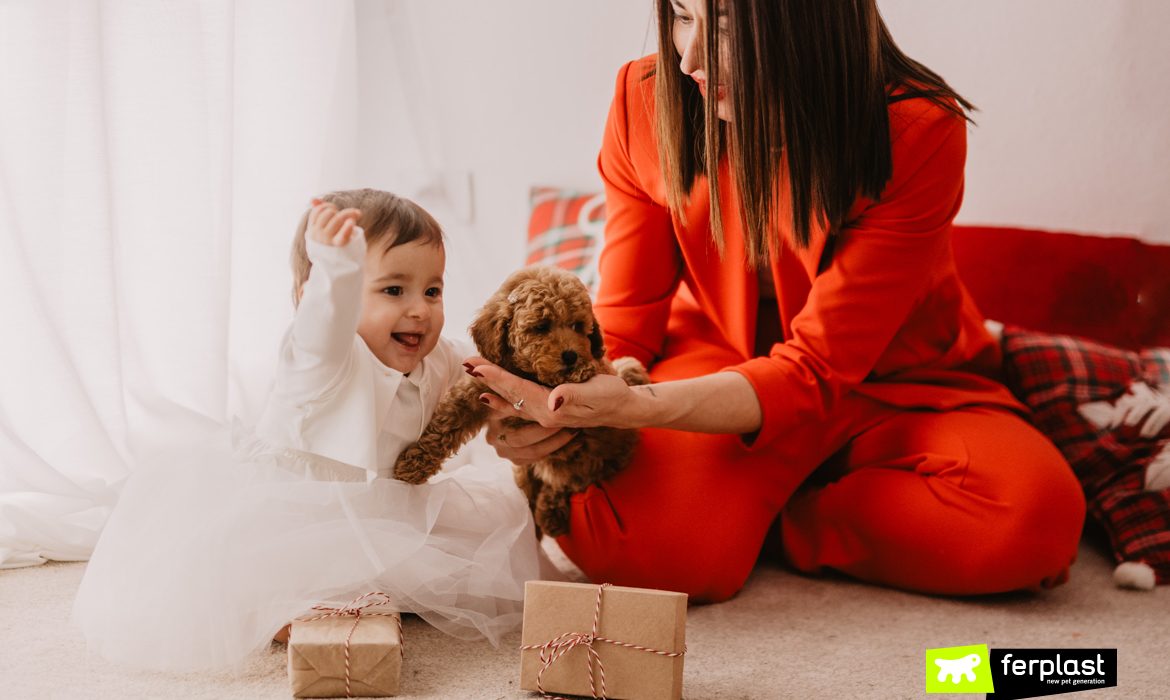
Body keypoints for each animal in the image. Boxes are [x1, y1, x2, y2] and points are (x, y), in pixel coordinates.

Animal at [393, 268, 650, 538]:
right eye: (541, 327)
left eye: (577, 326)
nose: (571, 356)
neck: (528, 374)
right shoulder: (478, 388)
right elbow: (447, 421)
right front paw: (412, 465)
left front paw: (582, 371)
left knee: (567, 479)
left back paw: (550, 513)